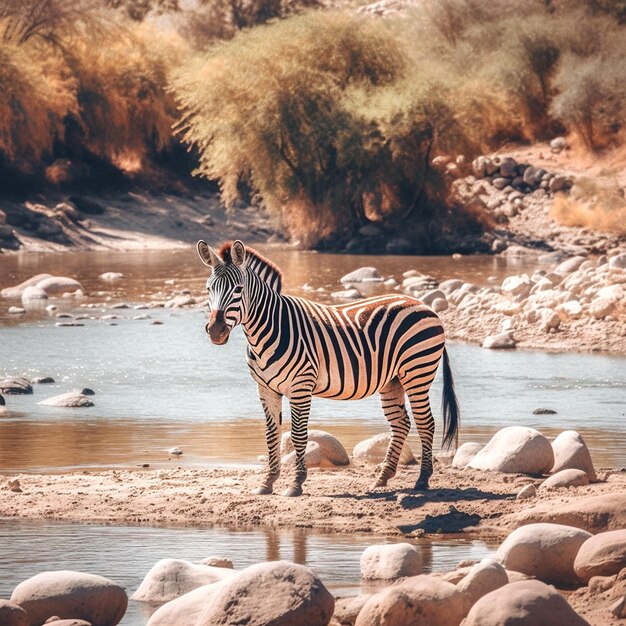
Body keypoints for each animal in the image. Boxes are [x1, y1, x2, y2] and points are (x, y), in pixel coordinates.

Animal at [197, 239, 456, 498]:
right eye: (209, 289)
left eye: (238, 289)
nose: (216, 331)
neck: (268, 329)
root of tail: (424, 306)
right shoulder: (266, 388)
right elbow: (271, 435)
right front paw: (267, 482)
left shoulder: (301, 385)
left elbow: (299, 434)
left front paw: (296, 484)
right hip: (393, 380)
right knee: (401, 423)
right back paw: (381, 479)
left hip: (417, 372)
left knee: (426, 423)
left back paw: (422, 480)